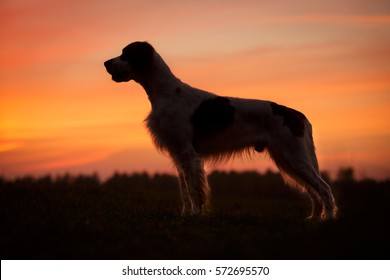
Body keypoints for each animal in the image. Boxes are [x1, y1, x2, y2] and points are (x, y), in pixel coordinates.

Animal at [105, 41, 336, 221]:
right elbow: (184, 190)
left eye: (126, 53)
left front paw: (196, 215)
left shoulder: (188, 153)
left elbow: (194, 189)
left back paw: (328, 218)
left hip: (294, 157)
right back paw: (314, 218)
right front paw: (186, 215)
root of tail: (297, 114)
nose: (106, 63)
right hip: (286, 159)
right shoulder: (178, 154)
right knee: (313, 191)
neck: (167, 92)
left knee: (324, 188)